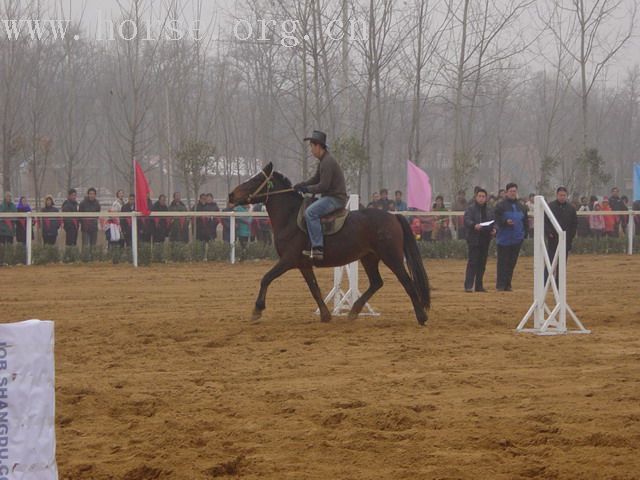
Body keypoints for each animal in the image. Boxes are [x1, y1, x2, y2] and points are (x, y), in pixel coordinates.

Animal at [228, 162, 432, 326]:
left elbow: (266, 278)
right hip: (369, 258)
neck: (290, 218)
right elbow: (314, 288)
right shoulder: (303, 264)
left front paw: (257, 309)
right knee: (376, 283)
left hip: (392, 257)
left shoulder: (288, 260)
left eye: (255, 180)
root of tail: (393, 216)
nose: (231, 195)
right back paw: (354, 311)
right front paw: (325, 315)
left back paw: (421, 317)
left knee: (407, 282)